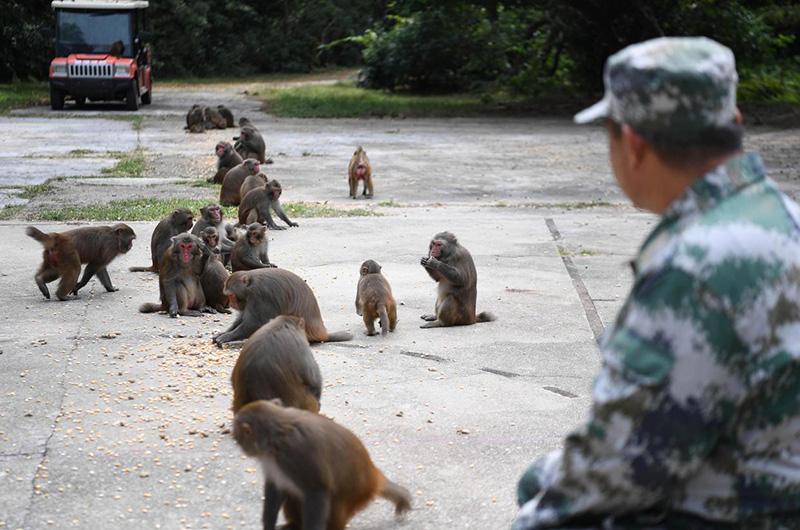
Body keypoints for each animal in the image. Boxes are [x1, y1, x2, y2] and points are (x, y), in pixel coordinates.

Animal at [214, 266, 352, 344]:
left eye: (231, 295)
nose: (231, 304)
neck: (250, 287)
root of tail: (322, 334)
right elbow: (243, 317)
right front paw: (223, 333)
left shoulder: (261, 296)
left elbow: (256, 323)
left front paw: (228, 336)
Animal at [233, 398, 412, 528]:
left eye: (239, 439)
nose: (242, 448)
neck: (277, 434)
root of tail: (373, 475)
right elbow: (277, 486)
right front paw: (268, 523)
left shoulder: (294, 453)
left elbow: (317, 492)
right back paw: (294, 525)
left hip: (356, 495)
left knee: (332, 502)